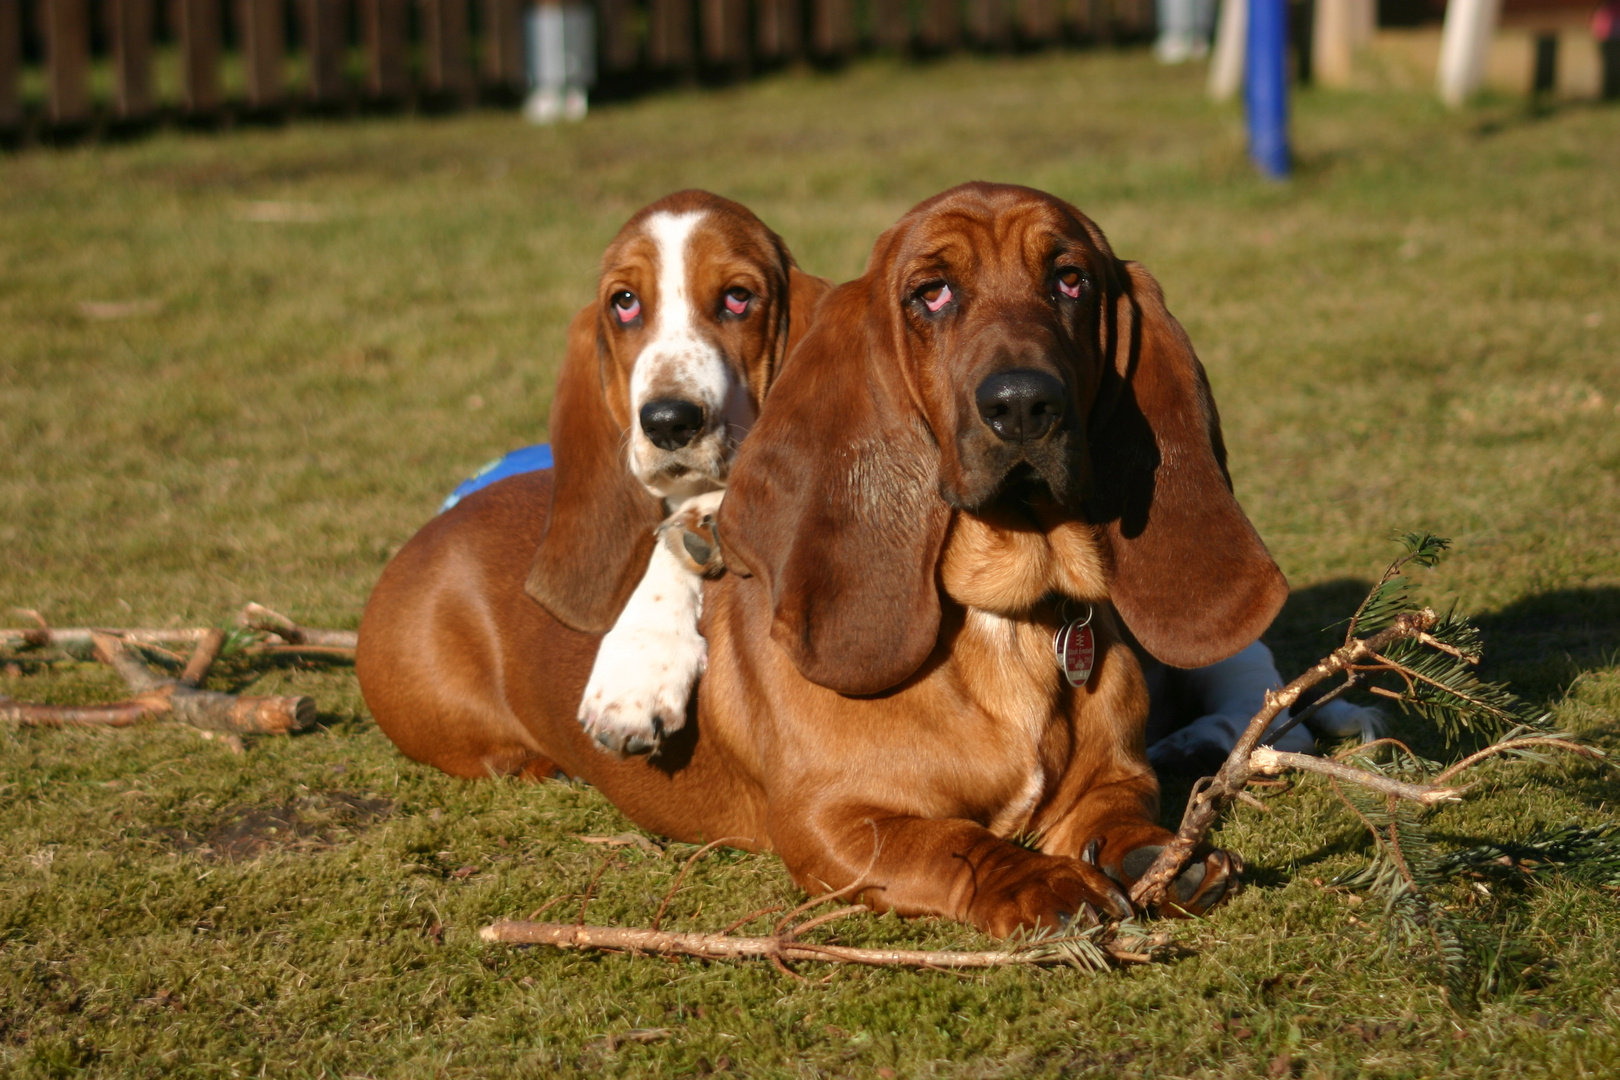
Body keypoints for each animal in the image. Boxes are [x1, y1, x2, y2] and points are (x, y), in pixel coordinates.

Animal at [358, 181, 1289, 932]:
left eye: (1071, 280)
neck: (1008, 615)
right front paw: (1041, 883)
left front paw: (1162, 855)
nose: (1024, 404)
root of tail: (432, 529)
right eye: (931, 294)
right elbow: (958, 845)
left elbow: (1123, 818)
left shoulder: (1111, 782)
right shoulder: (834, 825)